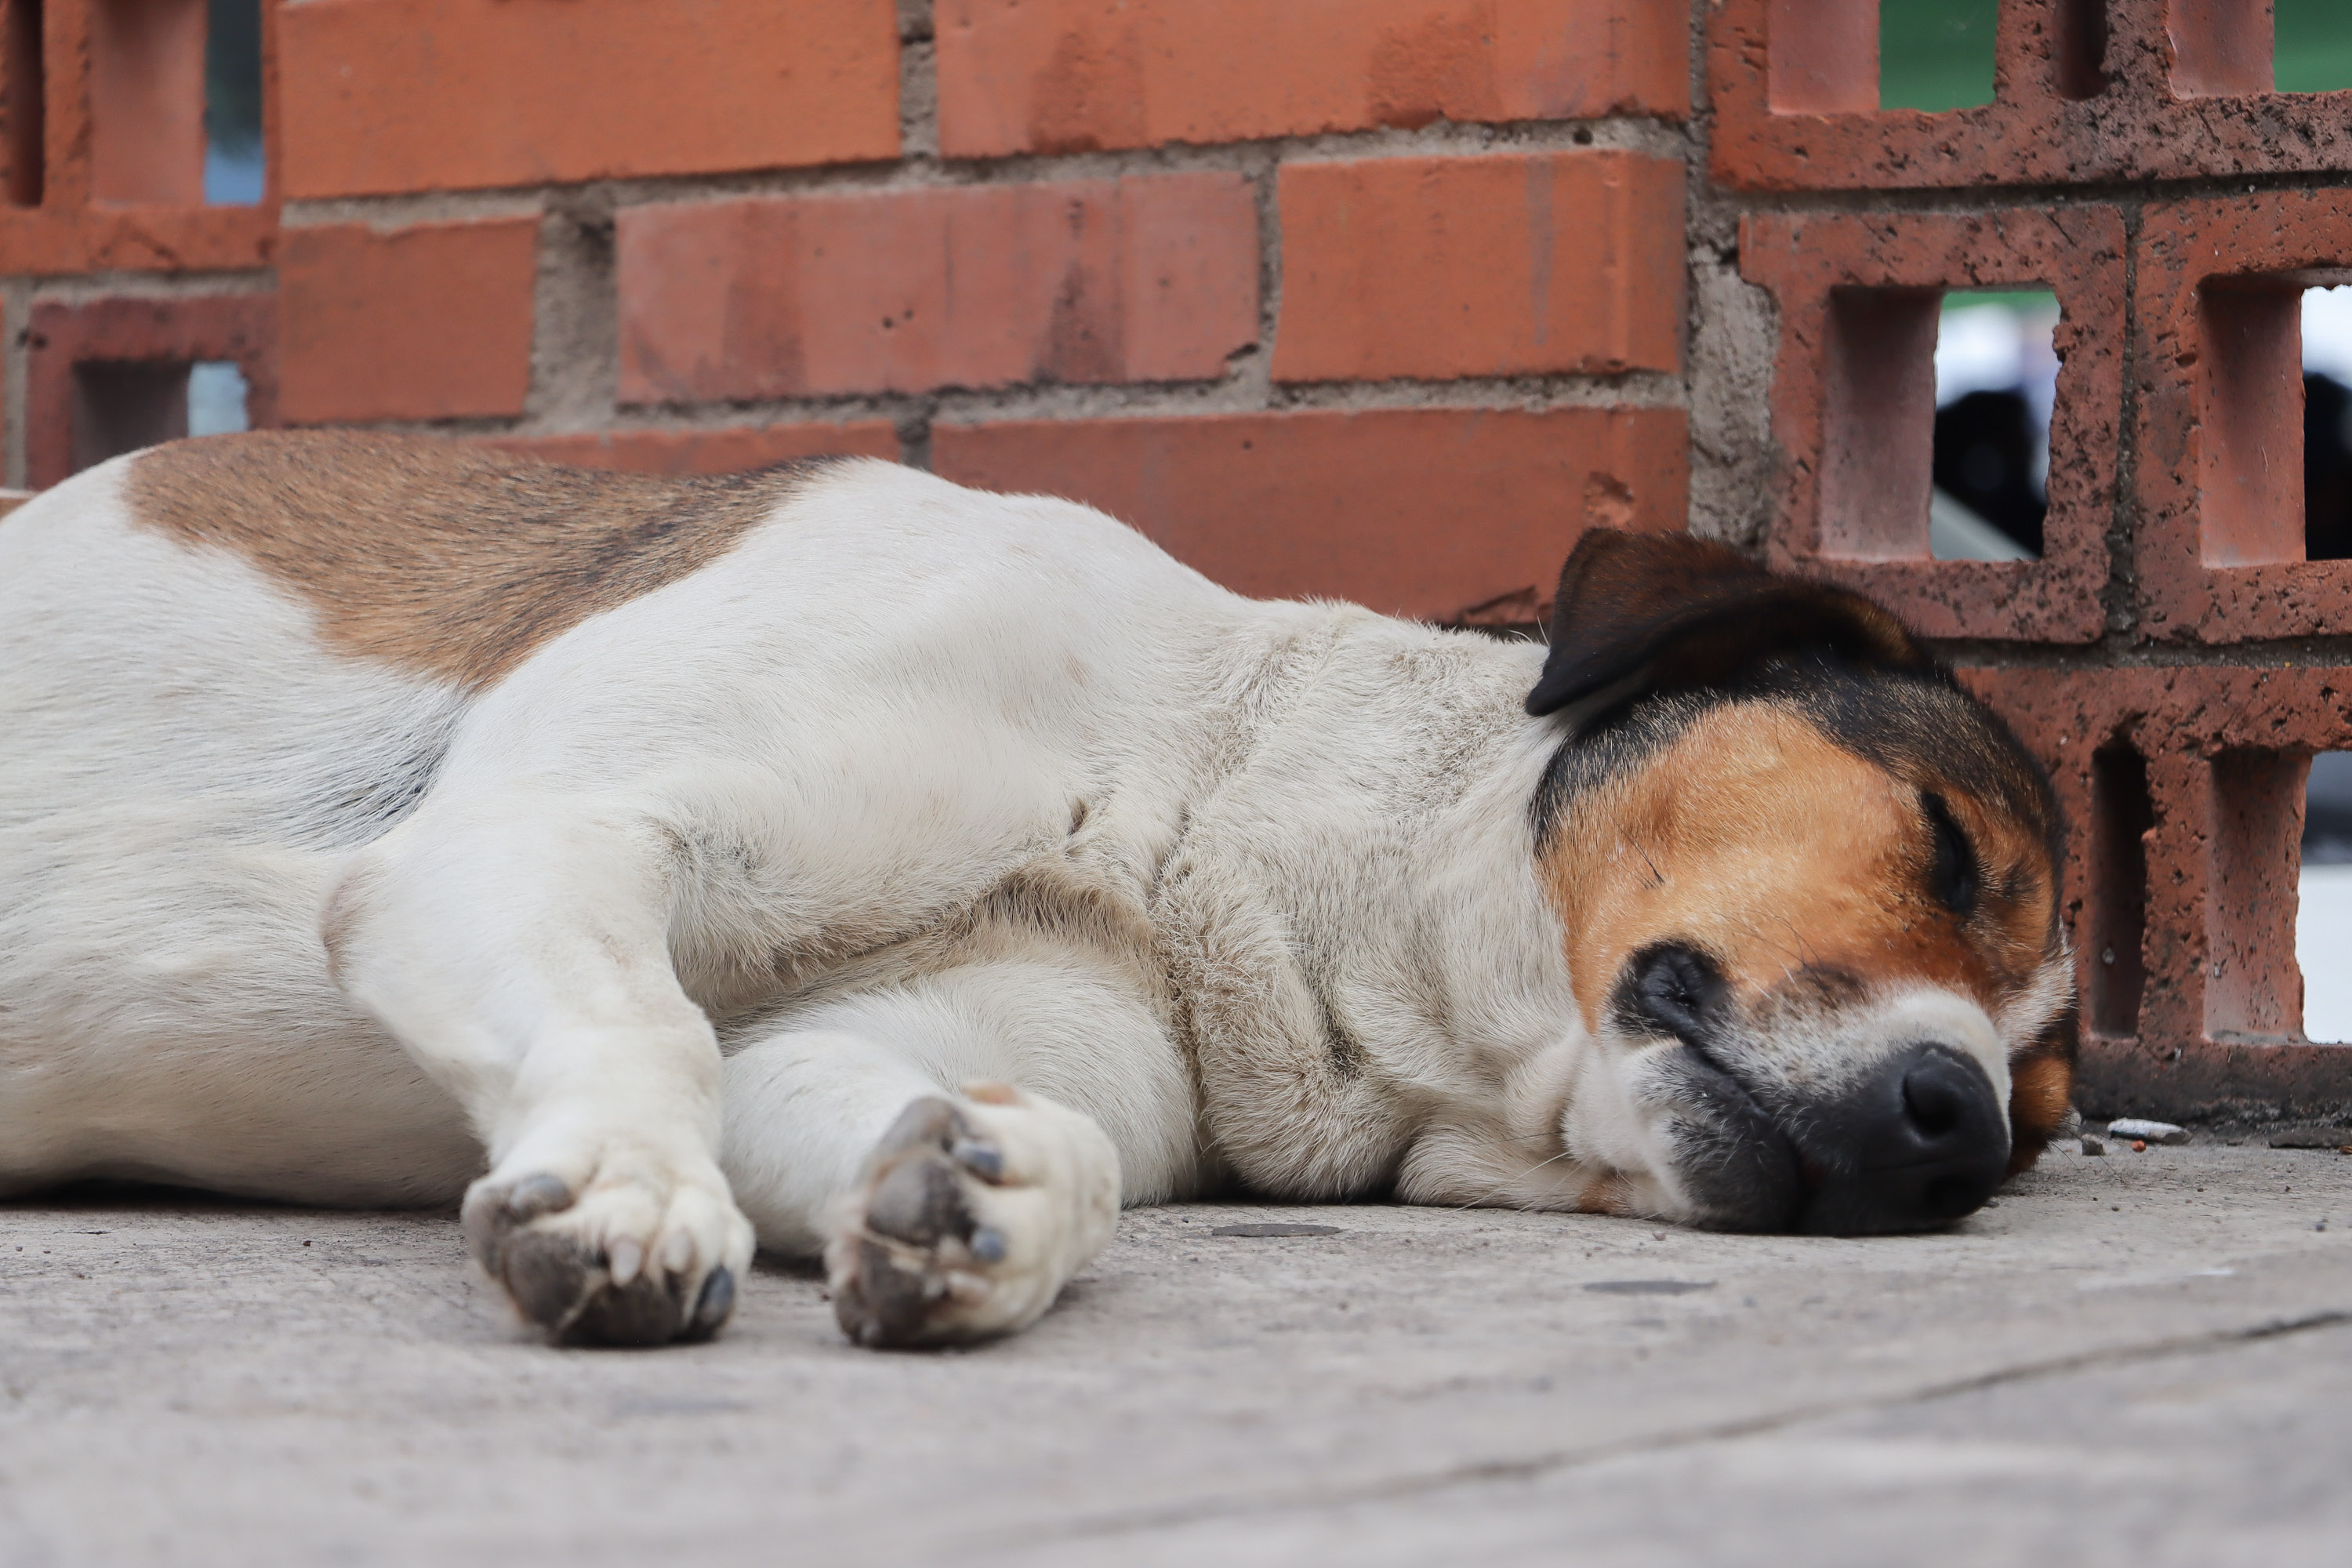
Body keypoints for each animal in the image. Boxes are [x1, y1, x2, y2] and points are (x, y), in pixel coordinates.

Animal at [0, 439, 2060, 1354]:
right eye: (1946, 840)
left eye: (2041, 1124)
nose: (1950, 1128)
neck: (1191, 815)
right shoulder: (530, 835)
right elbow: (643, 1024)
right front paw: (630, 1193)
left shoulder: (883, 1039)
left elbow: (925, 1109)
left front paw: (979, 1196)